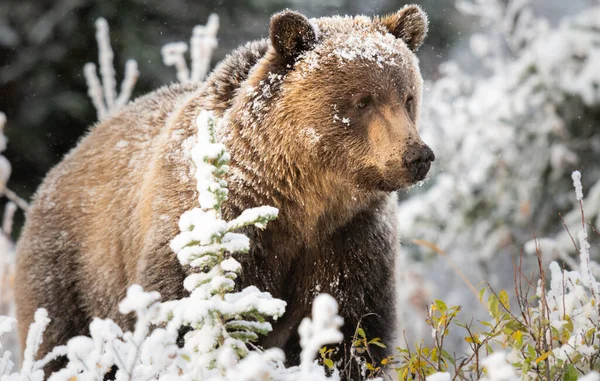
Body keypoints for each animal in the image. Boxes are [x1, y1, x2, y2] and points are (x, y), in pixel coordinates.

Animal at [16, 4, 434, 376]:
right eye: (362, 100)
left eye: (408, 97)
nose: (418, 156)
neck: (300, 199)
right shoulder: (215, 225)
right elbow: (187, 313)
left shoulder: (348, 238)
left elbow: (352, 328)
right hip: (74, 273)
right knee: (59, 343)